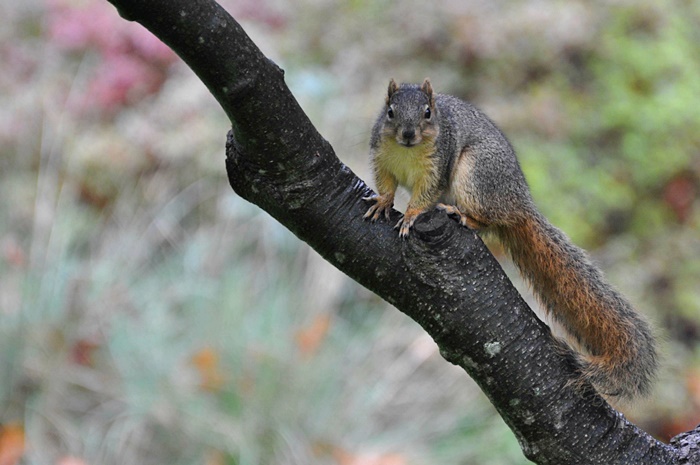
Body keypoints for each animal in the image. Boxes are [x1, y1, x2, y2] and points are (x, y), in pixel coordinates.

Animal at [364, 77, 660, 398]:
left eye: (428, 113)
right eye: (390, 112)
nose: (408, 135)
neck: (407, 152)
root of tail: (518, 203)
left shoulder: (436, 167)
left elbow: (425, 195)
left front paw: (410, 215)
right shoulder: (381, 157)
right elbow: (386, 184)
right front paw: (383, 202)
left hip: (475, 176)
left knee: (487, 218)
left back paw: (462, 215)